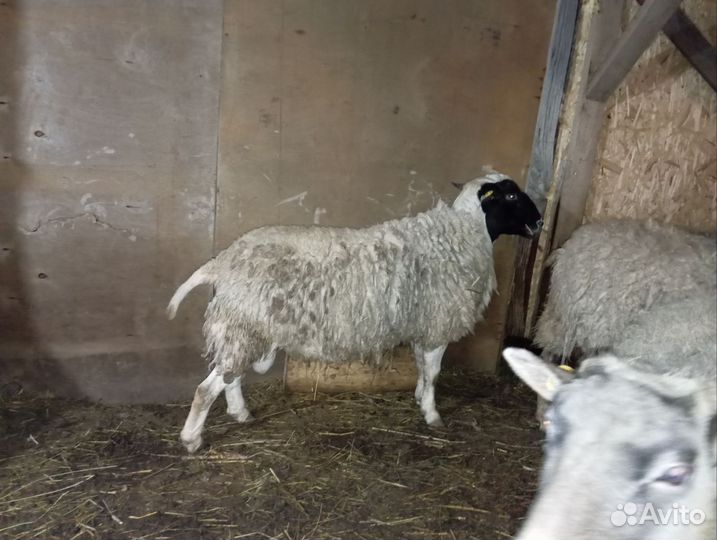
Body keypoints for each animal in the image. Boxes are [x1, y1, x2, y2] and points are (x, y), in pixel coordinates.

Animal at [168, 172, 543, 453]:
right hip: (244, 326)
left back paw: (241, 413)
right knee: (207, 389)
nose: (539, 222)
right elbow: (435, 373)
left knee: (231, 377)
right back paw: (192, 439)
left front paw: (419, 397)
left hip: (246, 329)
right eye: (511, 196)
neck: (465, 233)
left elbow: (422, 368)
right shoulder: (438, 324)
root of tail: (222, 261)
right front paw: (432, 414)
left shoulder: (422, 325)